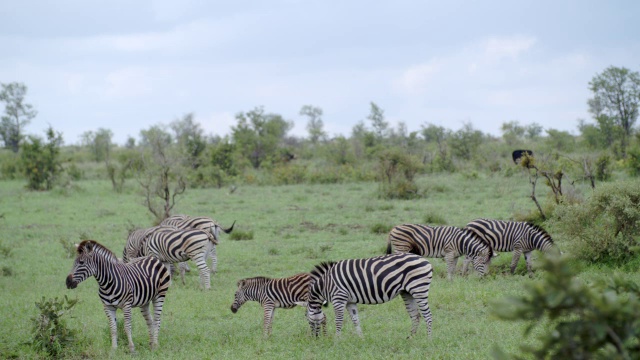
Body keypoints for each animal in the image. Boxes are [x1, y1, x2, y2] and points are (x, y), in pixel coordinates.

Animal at [306, 253, 436, 338]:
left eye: (309, 322)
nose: (314, 339)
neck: (325, 284)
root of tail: (425, 260)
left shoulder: (339, 297)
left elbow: (338, 320)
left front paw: (337, 340)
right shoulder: (350, 301)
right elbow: (355, 320)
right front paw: (361, 338)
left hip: (419, 289)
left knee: (428, 315)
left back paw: (428, 339)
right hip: (407, 293)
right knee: (416, 315)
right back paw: (410, 338)